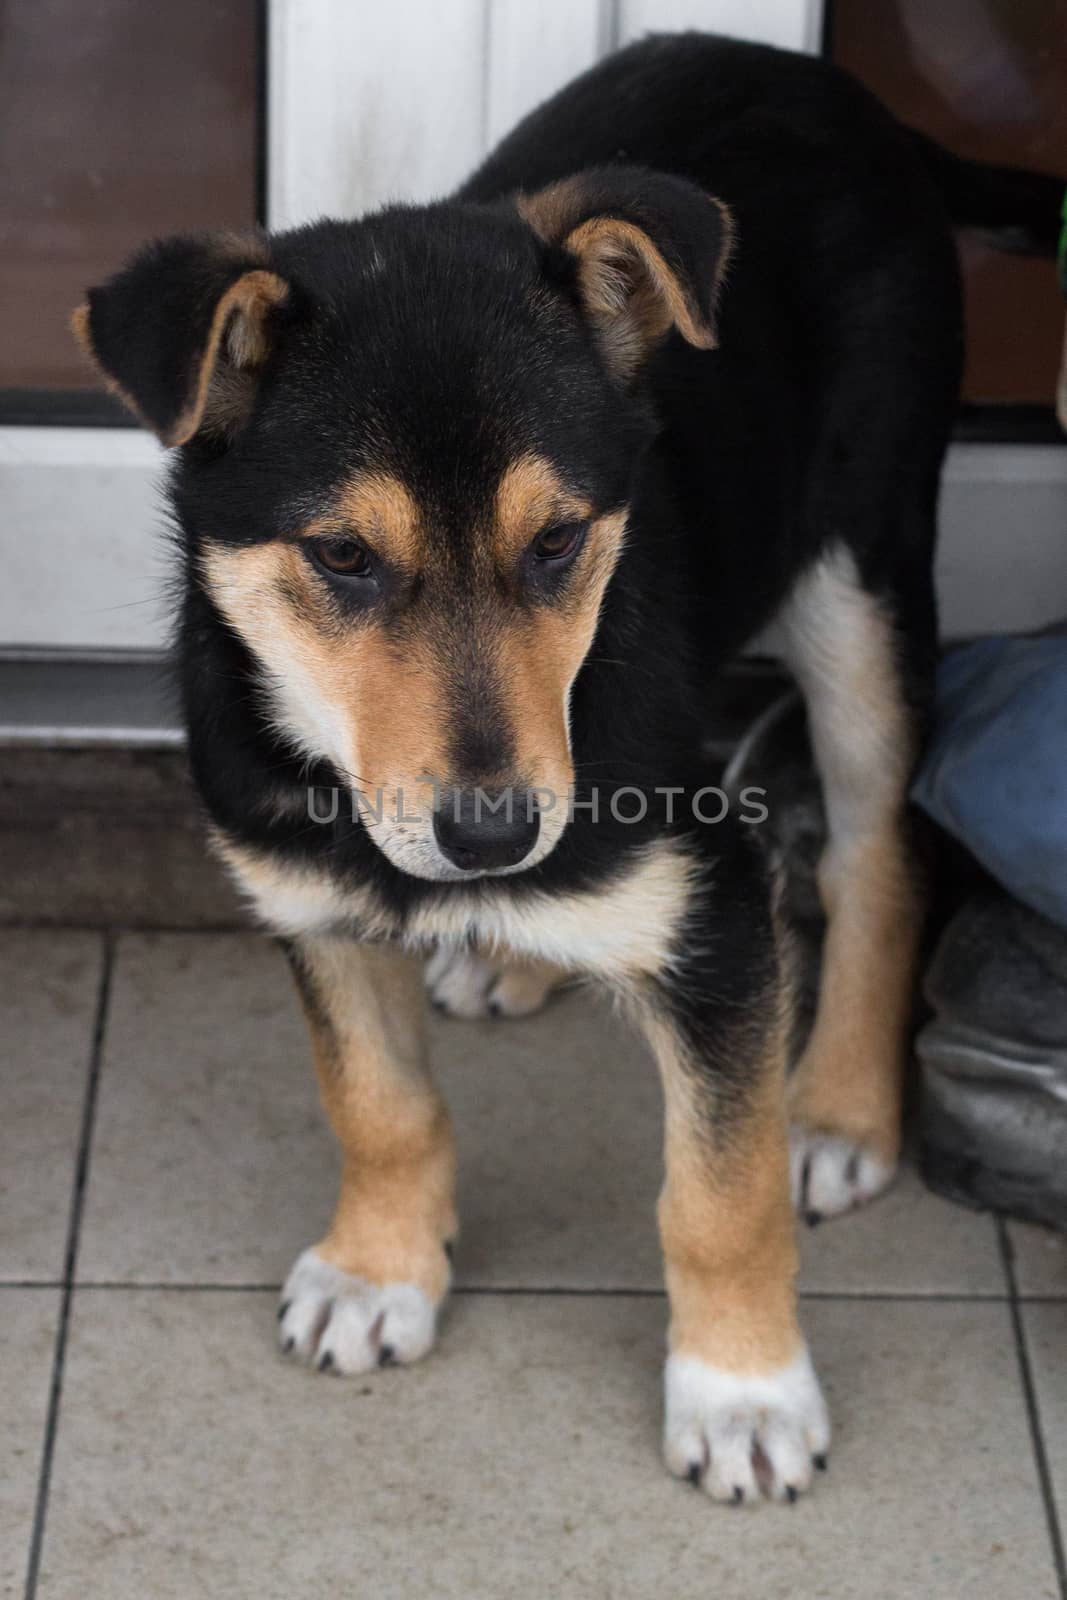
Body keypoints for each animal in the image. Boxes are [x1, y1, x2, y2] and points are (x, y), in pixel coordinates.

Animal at [73, 37, 1062, 1504]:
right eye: (342, 559)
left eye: (556, 542)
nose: (489, 837)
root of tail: (840, 95)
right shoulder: (303, 896)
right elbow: (376, 1102)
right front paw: (378, 1269)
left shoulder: (717, 910)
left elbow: (717, 1192)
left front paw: (741, 1393)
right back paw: (513, 951)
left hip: (860, 565)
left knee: (879, 847)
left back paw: (835, 1108)